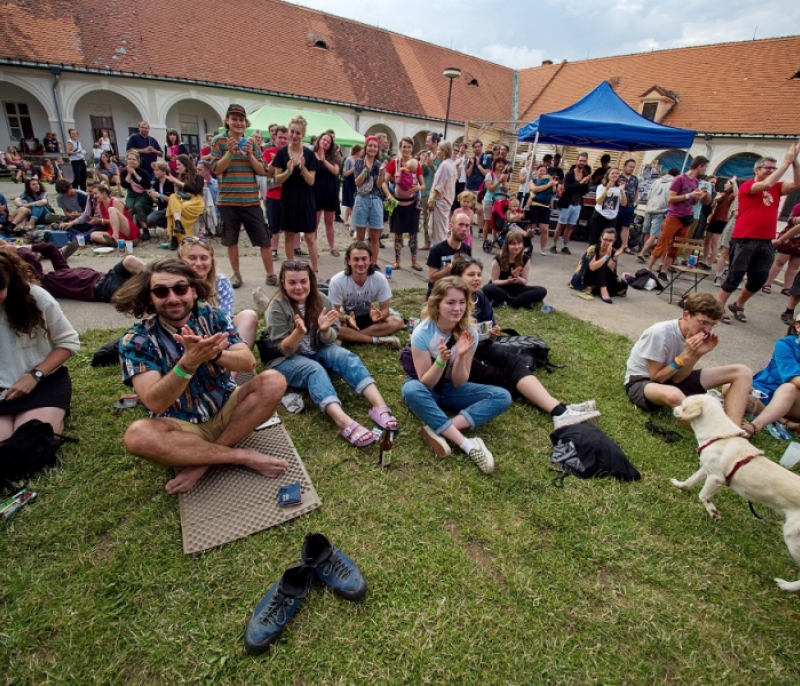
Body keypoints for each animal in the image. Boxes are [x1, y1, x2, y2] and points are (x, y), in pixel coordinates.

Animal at [668, 396, 800, 592]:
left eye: (683, 404)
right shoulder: (706, 469)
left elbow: (703, 496)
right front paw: (679, 485)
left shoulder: (716, 478)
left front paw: (714, 513)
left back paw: (787, 586)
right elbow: (690, 481)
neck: (718, 436)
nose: (674, 408)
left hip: (792, 537)